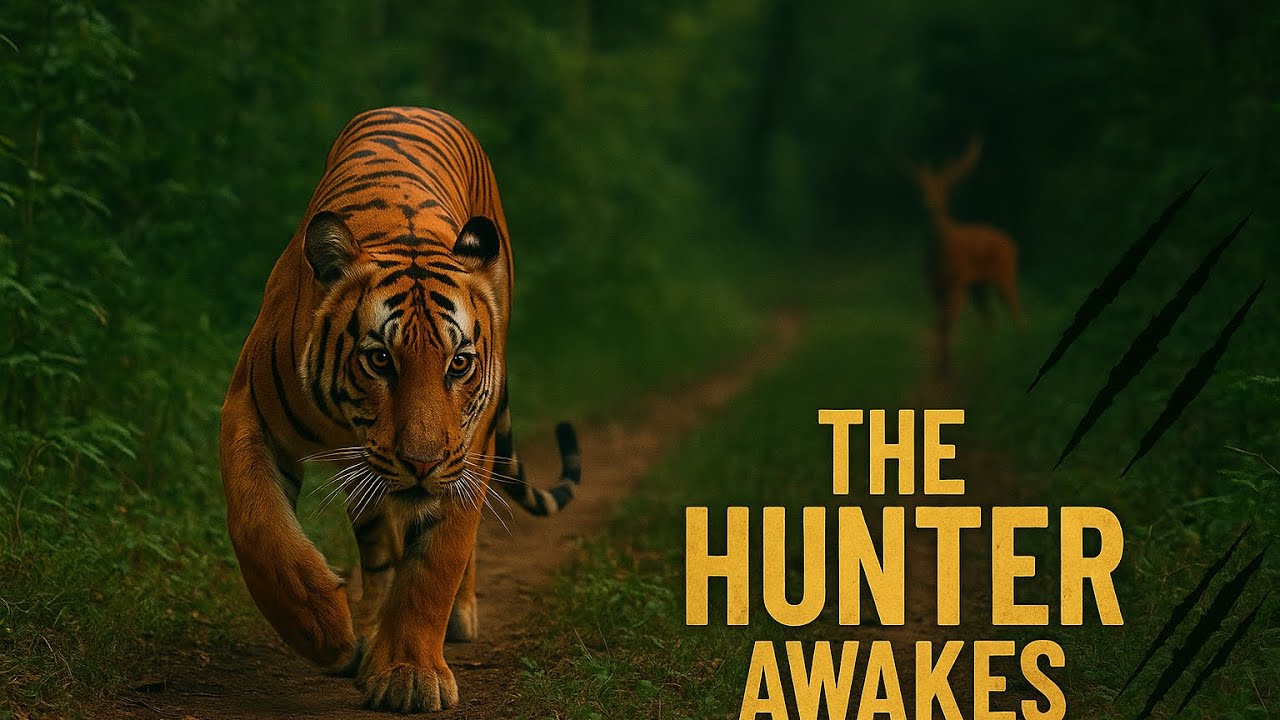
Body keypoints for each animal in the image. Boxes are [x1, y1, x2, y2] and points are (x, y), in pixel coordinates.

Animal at [219, 106, 581, 712]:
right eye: (380, 360)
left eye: (459, 363)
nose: (421, 463)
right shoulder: (249, 406)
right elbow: (260, 526)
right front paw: (326, 631)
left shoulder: (467, 446)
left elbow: (435, 563)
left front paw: (409, 674)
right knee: (376, 539)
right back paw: (364, 628)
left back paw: (451, 618)